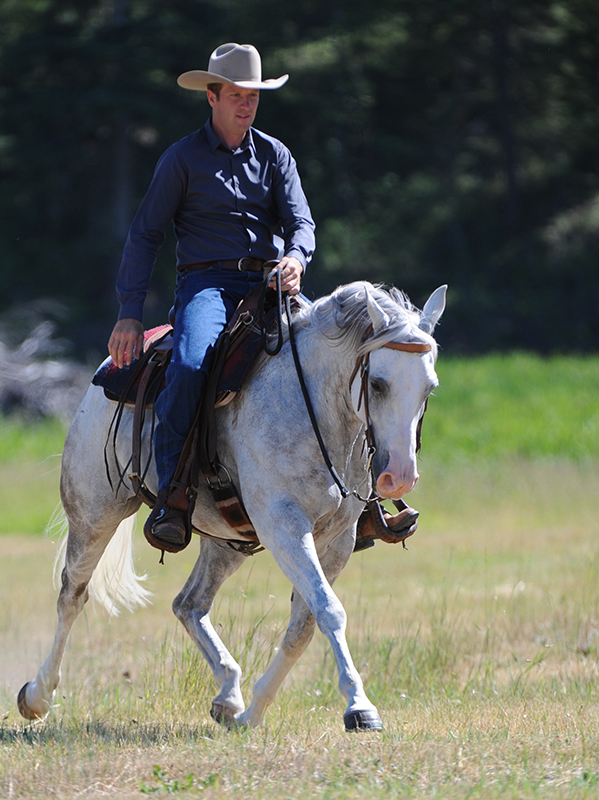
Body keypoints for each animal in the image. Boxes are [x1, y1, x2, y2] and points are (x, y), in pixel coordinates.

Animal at [17, 280, 446, 731]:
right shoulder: (284, 527)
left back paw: (228, 694)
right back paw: (38, 695)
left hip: (227, 542)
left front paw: (254, 711)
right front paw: (359, 706)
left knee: (188, 604)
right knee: (72, 595)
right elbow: (330, 610)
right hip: (94, 514)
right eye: (377, 383)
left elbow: (305, 623)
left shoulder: (337, 541)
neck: (312, 405)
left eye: (429, 387)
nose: (399, 477)